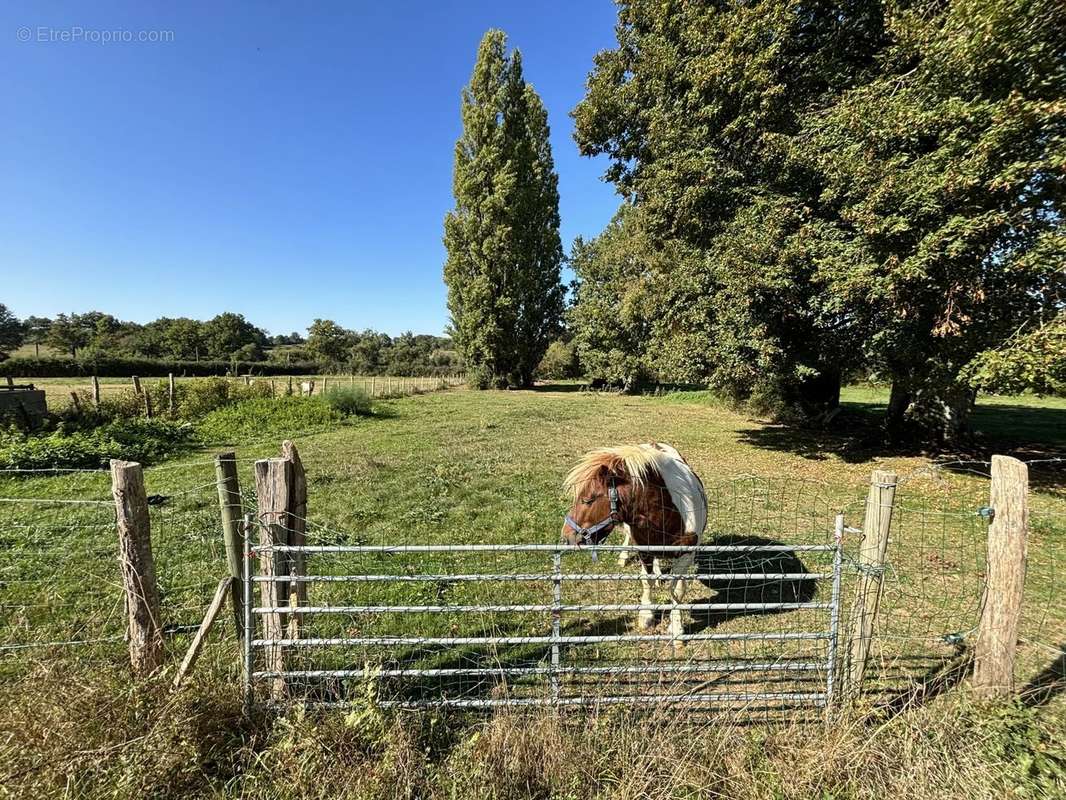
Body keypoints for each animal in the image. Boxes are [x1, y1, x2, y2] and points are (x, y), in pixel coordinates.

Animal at [558, 445, 707, 644]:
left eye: (588, 499)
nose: (566, 536)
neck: (668, 512)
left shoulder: (686, 554)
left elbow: (676, 589)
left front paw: (676, 628)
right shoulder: (644, 549)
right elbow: (646, 581)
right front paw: (646, 616)